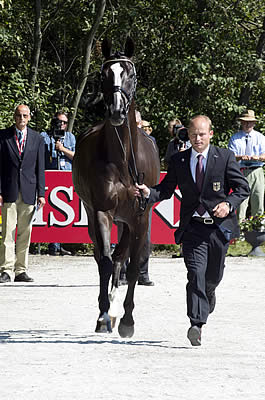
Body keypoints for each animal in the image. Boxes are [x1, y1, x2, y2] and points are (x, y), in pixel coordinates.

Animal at [71, 38, 160, 338]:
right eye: (105, 74)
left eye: (130, 74)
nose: (117, 111)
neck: (122, 159)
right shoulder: (102, 211)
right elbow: (106, 262)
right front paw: (103, 316)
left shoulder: (140, 217)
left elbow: (129, 267)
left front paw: (128, 320)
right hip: (93, 213)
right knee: (104, 258)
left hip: (129, 220)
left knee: (122, 257)